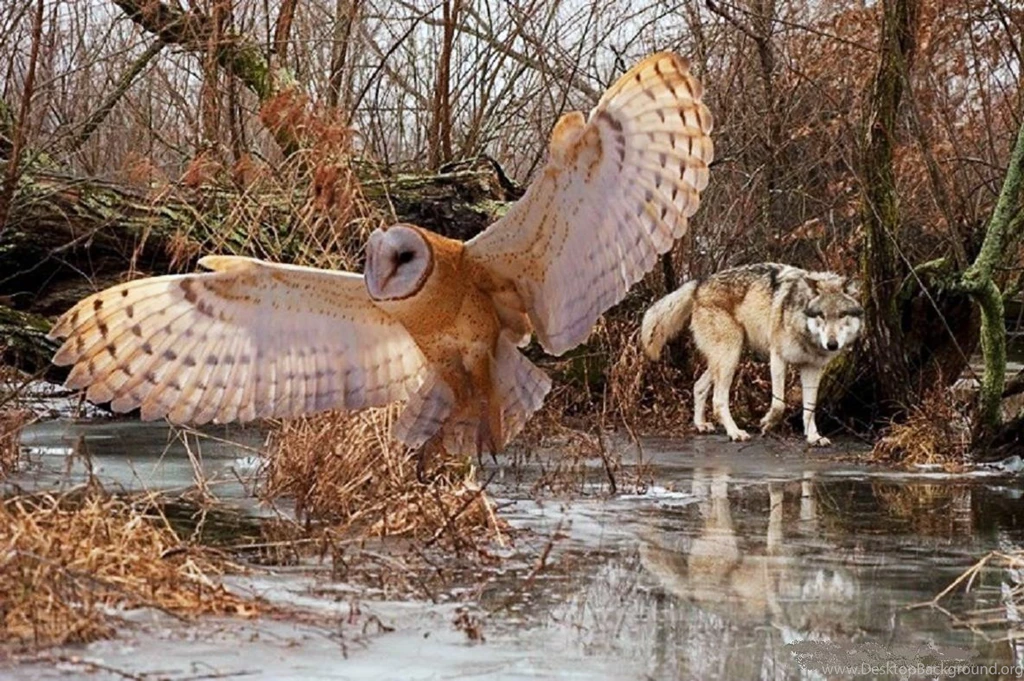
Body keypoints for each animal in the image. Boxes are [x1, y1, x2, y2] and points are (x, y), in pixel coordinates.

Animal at [641, 264, 862, 446]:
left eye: (842, 315)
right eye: (821, 315)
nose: (832, 344)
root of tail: (699, 283)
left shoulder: (813, 368)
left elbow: (810, 407)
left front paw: (814, 436)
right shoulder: (777, 357)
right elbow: (779, 404)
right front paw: (767, 424)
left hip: (725, 357)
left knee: (698, 386)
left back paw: (701, 424)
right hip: (730, 355)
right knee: (718, 400)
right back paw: (735, 433)